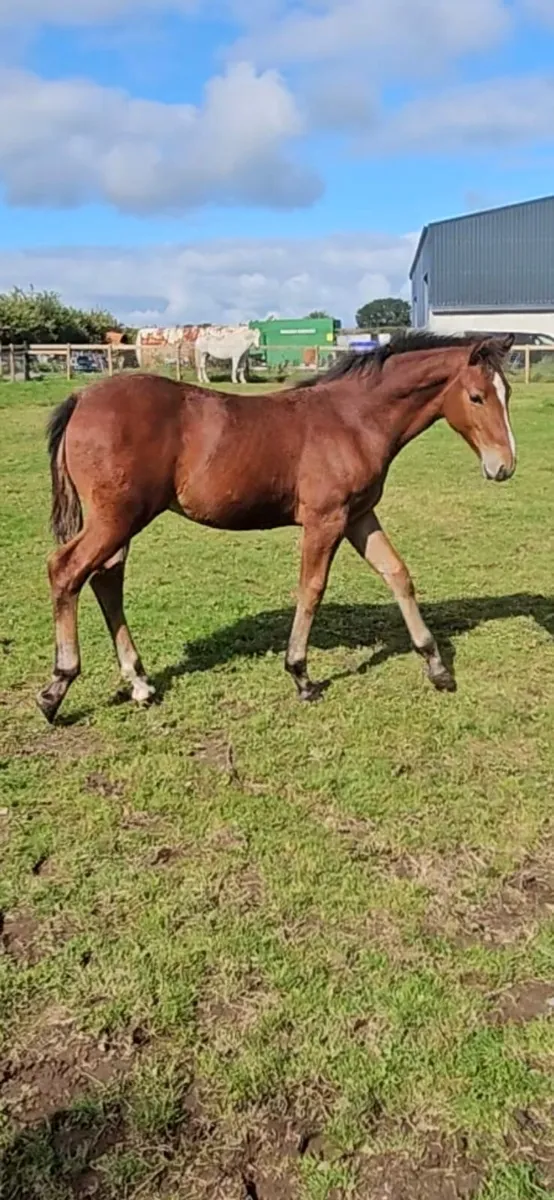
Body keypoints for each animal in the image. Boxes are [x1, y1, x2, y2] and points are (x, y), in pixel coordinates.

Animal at [36, 331, 516, 724]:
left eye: (506, 392)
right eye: (477, 397)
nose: (505, 467)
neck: (354, 419)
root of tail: (81, 399)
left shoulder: (359, 516)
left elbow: (397, 574)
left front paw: (437, 667)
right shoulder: (326, 519)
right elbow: (312, 588)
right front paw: (301, 675)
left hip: (119, 522)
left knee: (105, 578)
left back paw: (139, 682)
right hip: (116, 518)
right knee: (66, 570)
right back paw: (57, 688)